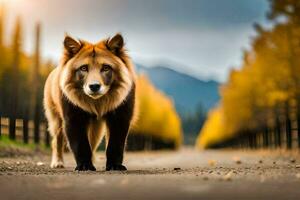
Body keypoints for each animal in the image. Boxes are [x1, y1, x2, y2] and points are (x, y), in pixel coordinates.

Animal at [43, 33, 136, 171]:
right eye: (83, 68)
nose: (94, 86)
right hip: (55, 119)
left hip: (96, 127)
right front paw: (84, 166)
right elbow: (80, 144)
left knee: (92, 143)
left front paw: (115, 166)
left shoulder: (120, 117)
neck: (97, 103)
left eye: (106, 68)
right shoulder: (73, 117)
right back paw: (58, 163)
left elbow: (115, 144)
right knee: (57, 141)